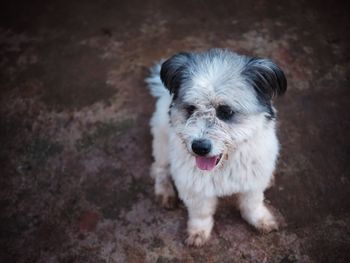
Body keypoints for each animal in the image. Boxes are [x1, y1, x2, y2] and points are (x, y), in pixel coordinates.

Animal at [145, 48, 288, 248]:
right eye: (191, 108)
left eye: (226, 111)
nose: (199, 147)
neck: (224, 166)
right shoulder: (194, 186)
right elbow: (201, 212)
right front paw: (198, 232)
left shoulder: (252, 181)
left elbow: (252, 203)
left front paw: (261, 219)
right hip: (162, 142)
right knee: (159, 168)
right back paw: (164, 191)